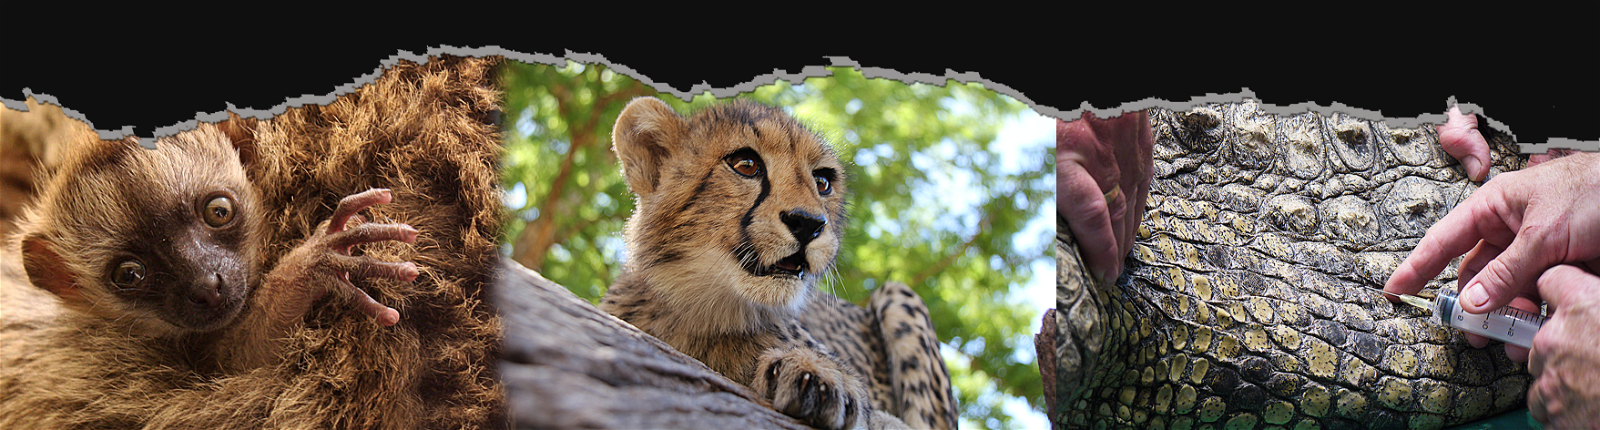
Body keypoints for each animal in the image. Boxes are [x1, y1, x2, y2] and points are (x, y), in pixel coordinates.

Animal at [599, 97, 958, 430]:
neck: (700, 314)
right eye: (745, 164)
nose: (809, 223)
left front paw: (817, 374)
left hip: (898, 295)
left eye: (822, 182)